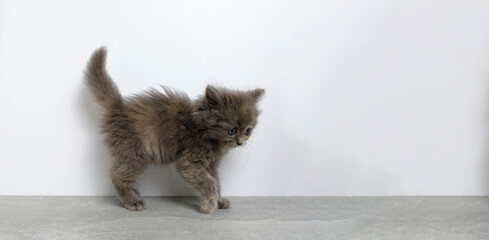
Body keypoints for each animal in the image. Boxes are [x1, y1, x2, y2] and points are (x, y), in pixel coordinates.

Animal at [84, 47, 264, 214]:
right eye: (231, 131)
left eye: (248, 131)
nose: (240, 142)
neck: (203, 130)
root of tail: (118, 107)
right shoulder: (189, 161)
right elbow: (209, 182)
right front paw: (209, 206)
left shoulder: (211, 164)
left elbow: (217, 181)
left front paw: (219, 201)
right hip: (134, 153)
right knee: (117, 175)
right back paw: (131, 201)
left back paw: (132, 193)